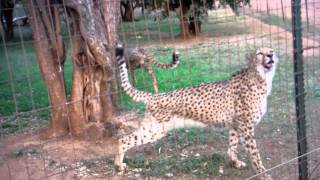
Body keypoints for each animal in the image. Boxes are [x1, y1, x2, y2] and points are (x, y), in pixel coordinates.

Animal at [115, 44, 278, 180]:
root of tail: (153, 96)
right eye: (259, 53)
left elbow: (232, 147)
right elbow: (255, 155)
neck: (260, 77)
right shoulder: (246, 128)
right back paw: (118, 166)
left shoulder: (235, 126)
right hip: (154, 130)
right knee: (123, 140)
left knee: (123, 139)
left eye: (271, 50)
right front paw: (264, 174)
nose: (270, 55)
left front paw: (235, 162)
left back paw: (119, 164)